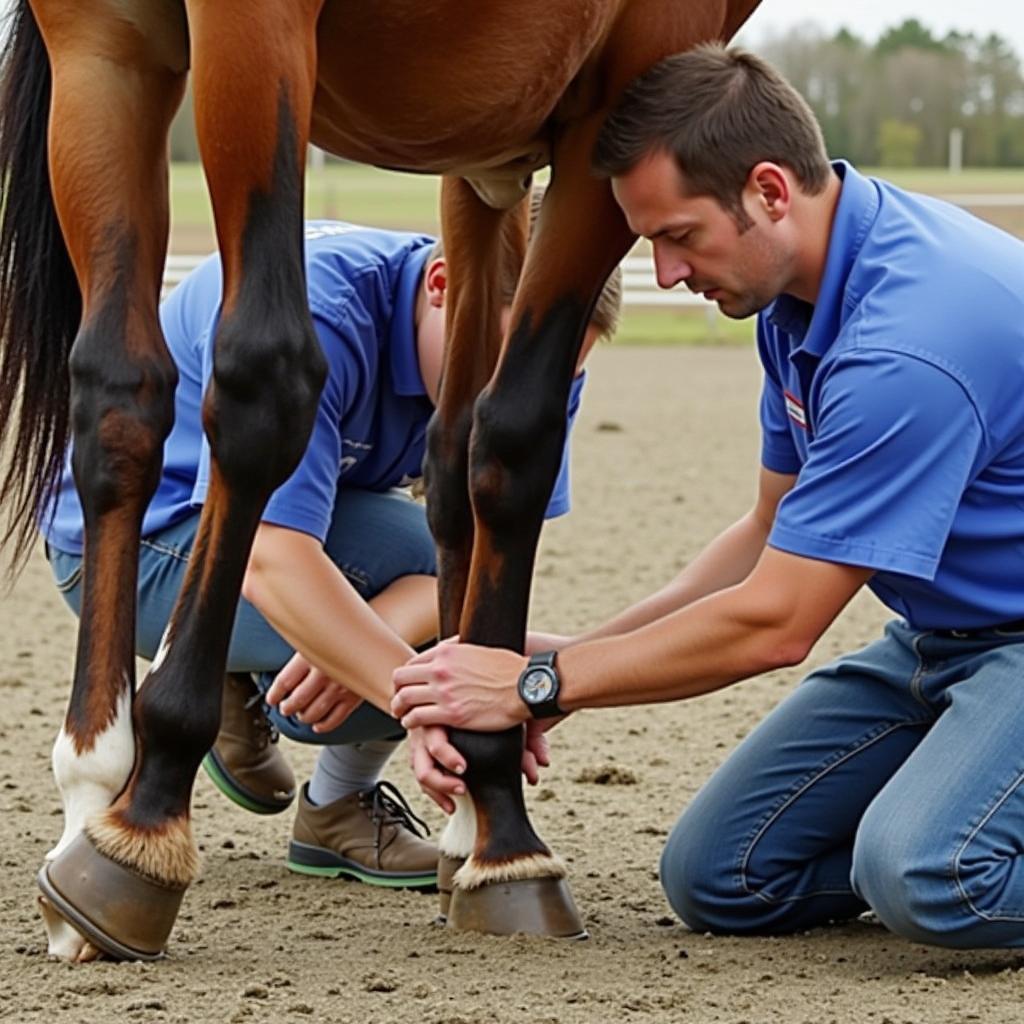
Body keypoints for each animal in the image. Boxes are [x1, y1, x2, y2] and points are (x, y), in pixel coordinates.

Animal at [0, 0, 761, 958]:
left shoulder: (498, 146)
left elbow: (470, 448)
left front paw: (480, 815)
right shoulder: (630, 77)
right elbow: (508, 430)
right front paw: (501, 822)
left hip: (108, 56)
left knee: (120, 395)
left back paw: (92, 793)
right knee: (248, 385)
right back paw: (134, 813)